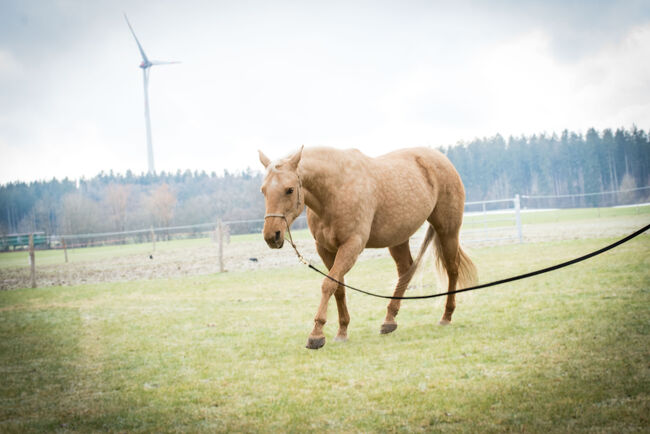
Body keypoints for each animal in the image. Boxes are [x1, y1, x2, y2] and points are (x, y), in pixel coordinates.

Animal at [258, 146, 476, 350]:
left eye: (289, 189)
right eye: (263, 190)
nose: (272, 236)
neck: (336, 189)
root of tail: (443, 160)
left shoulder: (352, 245)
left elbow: (328, 285)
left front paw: (316, 334)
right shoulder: (325, 249)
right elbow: (338, 287)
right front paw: (342, 330)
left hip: (448, 230)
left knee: (452, 269)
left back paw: (446, 315)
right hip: (398, 238)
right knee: (406, 270)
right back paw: (389, 320)